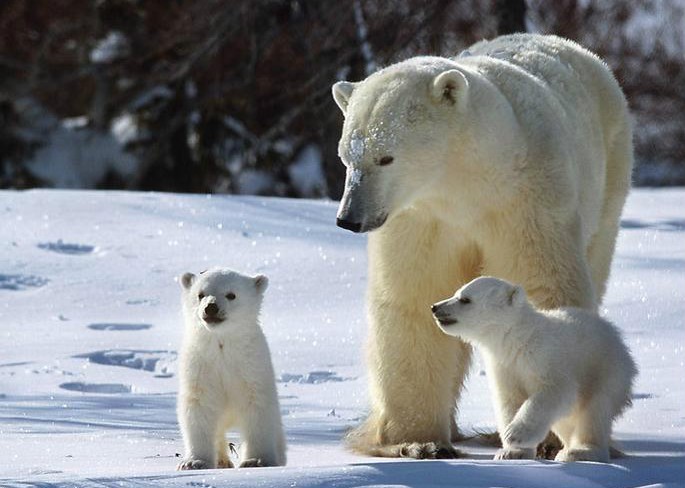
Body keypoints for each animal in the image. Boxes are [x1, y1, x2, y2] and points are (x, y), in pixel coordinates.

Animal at [176, 266, 286, 468]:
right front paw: (194, 462)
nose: (211, 307)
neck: (222, 344)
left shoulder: (250, 366)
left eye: (231, 295)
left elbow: (257, 406)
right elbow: (199, 406)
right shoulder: (201, 365)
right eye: (200, 294)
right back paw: (222, 461)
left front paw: (256, 460)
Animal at [432, 276, 636, 464]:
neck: (518, 338)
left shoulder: (546, 356)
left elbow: (556, 390)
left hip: (606, 370)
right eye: (456, 292)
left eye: (465, 299)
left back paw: (579, 451)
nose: (435, 307)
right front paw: (511, 452)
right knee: (566, 420)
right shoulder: (504, 366)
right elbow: (509, 401)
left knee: (594, 411)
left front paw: (515, 434)